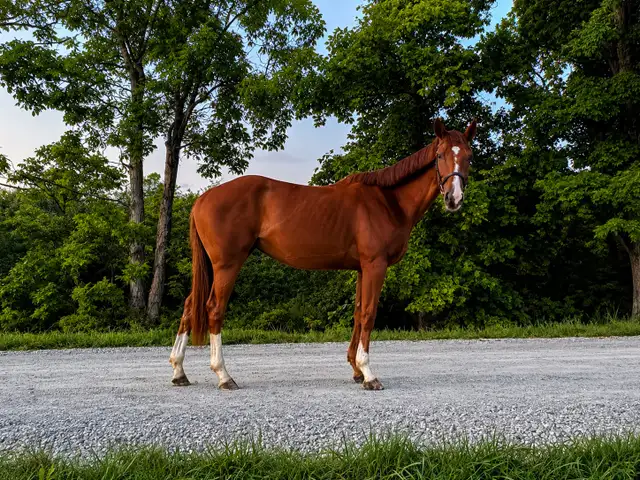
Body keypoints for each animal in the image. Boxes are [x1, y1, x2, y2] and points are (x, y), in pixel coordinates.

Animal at [169, 118, 477, 390]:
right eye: (440, 155)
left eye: (469, 156)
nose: (454, 199)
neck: (388, 202)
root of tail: (203, 199)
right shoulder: (375, 265)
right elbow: (369, 313)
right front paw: (369, 374)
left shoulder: (362, 268)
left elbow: (357, 313)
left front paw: (356, 370)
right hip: (227, 265)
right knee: (213, 309)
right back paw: (223, 375)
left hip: (211, 267)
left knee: (189, 306)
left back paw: (179, 371)